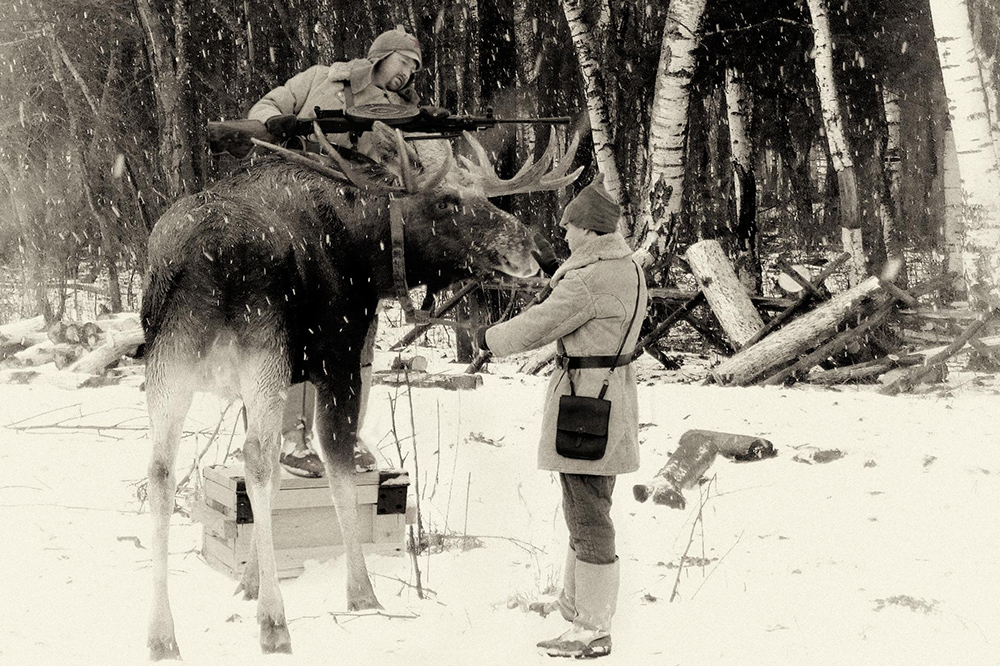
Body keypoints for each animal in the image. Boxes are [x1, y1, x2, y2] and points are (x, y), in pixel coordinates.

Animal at [140, 122, 580, 656]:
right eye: (446, 201)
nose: (539, 251)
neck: (366, 252)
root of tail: (206, 259)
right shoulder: (339, 357)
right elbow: (337, 469)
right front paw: (361, 591)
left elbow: (278, 479)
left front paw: (248, 582)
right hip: (261, 351)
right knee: (257, 458)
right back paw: (274, 623)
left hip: (169, 362)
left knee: (162, 470)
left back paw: (162, 634)